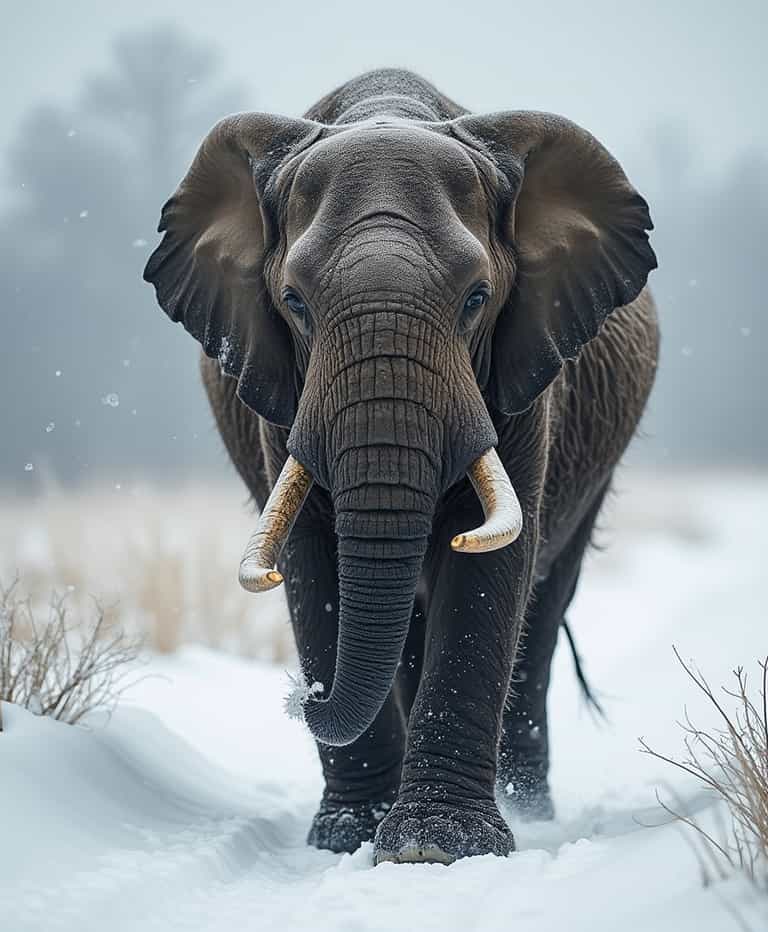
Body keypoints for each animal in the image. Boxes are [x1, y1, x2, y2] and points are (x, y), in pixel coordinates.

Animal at [144, 68, 658, 865]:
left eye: (477, 299)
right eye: (293, 302)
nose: (303, 695)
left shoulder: (521, 381)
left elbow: (488, 568)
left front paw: (437, 849)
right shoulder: (282, 396)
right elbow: (313, 566)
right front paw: (347, 839)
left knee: (542, 610)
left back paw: (531, 808)